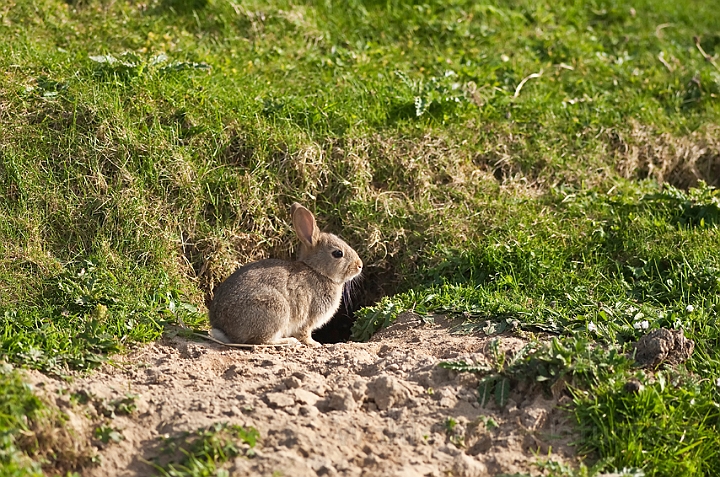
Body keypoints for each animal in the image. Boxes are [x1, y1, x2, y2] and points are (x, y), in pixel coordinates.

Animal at [210, 201, 366, 346]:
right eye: (338, 253)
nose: (360, 265)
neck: (317, 271)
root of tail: (224, 329)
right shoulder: (308, 317)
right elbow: (305, 333)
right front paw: (314, 343)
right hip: (276, 309)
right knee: (261, 341)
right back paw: (288, 341)